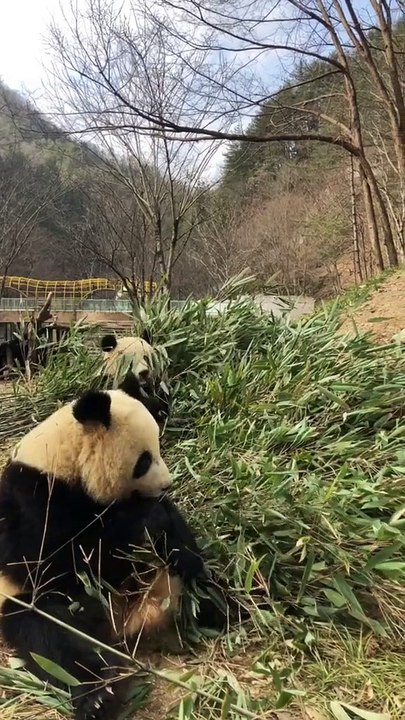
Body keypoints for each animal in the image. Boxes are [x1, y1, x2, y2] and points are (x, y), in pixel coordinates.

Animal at [0, 380, 225, 720]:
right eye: (144, 460)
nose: (167, 485)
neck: (63, 459)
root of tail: (125, 624)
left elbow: (177, 541)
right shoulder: (31, 500)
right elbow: (53, 561)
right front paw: (146, 517)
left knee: (201, 585)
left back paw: (226, 608)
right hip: (32, 601)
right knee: (50, 632)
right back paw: (99, 696)